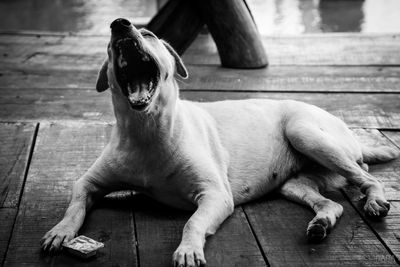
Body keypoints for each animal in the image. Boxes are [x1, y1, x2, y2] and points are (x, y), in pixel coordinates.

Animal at [41, 17, 400, 266]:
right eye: (109, 42)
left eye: (150, 35)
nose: (118, 24)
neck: (147, 128)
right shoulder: (88, 182)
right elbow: (74, 206)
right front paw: (61, 231)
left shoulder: (214, 196)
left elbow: (192, 222)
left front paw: (187, 249)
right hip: (295, 183)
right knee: (331, 203)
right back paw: (320, 225)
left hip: (305, 133)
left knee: (366, 177)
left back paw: (374, 201)